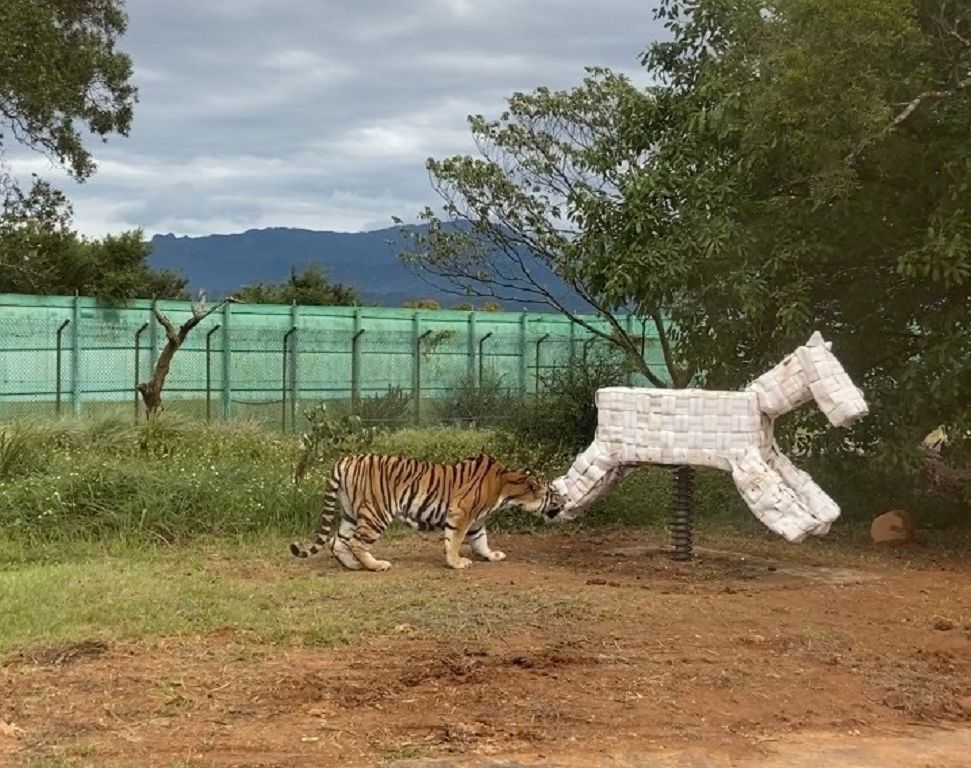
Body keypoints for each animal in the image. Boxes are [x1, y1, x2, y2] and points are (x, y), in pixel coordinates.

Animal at [288, 452, 560, 572]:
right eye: (553, 492)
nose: (564, 499)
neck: (507, 489)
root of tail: (346, 460)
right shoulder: (461, 513)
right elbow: (454, 540)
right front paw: (456, 563)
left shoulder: (476, 520)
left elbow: (481, 541)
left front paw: (492, 555)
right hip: (376, 512)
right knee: (356, 542)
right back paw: (376, 565)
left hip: (351, 514)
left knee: (337, 542)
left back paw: (354, 565)